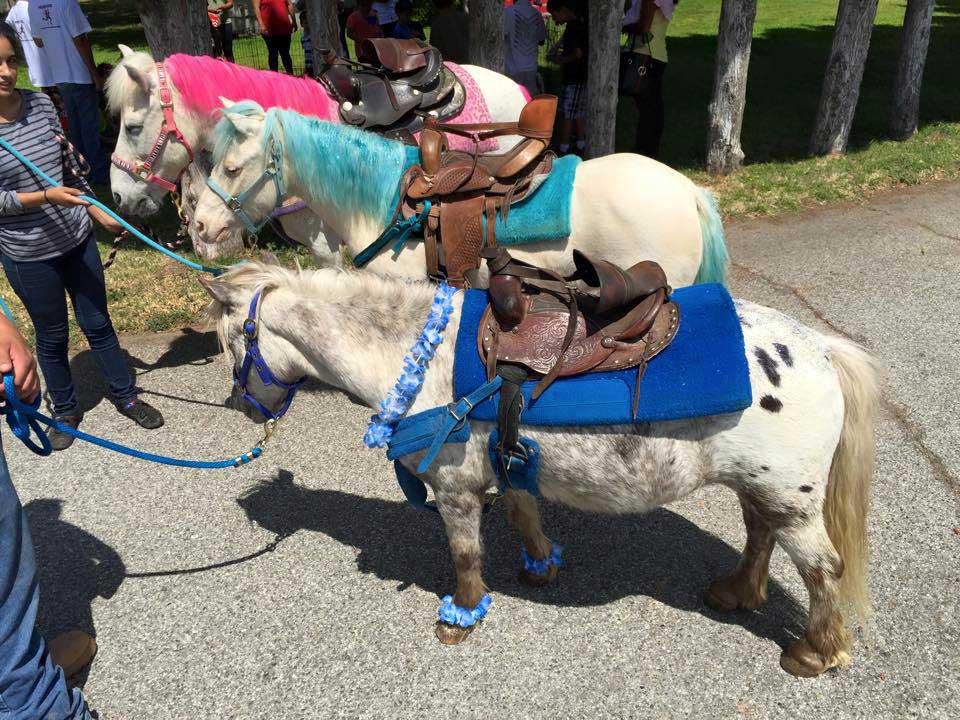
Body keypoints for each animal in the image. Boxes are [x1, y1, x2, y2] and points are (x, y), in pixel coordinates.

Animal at [200, 259, 879, 677]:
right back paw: (736, 593)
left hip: (791, 499)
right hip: (761, 489)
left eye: (232, 342)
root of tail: (821, 348)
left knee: (823, 569)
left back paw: (814, 654)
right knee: (760, 535)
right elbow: (523, 511)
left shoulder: (454, 488)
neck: (415, 355)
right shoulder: (508, 462)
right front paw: (540, 565)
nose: (242, 405)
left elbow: (464, 555)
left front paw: (461, 616)